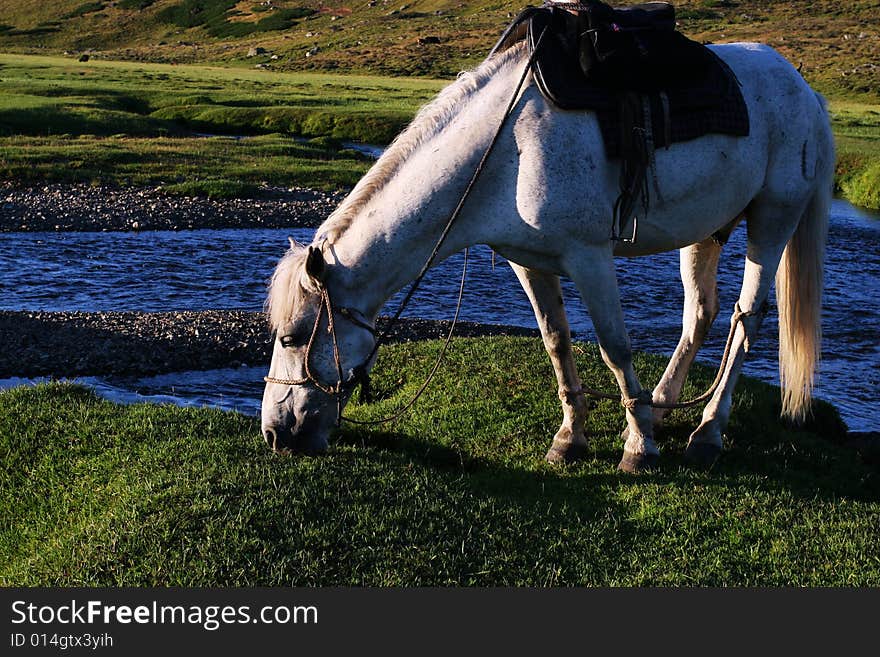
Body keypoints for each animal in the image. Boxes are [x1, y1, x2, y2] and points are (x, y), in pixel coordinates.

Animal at [260, 39, 832, 472]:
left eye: (291, 338)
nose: (275, 433)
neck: (507, 151)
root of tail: (806, 91)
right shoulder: (528, 261)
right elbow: (556, 341)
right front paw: (570, 439)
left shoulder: (590, 258)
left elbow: (615, 348)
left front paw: (638, 448)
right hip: (707, 229)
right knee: (701, 312)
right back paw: (664, 406)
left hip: (773, 217)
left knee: (747, 317)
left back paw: (707, 433)